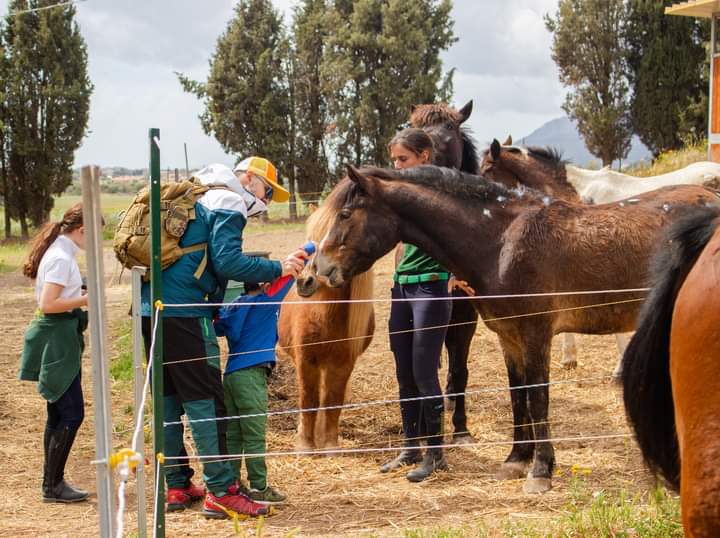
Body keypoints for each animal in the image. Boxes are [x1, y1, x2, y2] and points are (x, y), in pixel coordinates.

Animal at [277, 194, 374, 450]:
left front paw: (329, 444)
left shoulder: (343, 363)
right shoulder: (305, 361)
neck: (326, 318)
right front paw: (305, 445)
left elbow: (332, 400)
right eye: (309, 243)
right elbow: (308, 399)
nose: (304, 281)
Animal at [312, 164, 719, 494]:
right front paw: (516, 459)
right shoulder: (509, 337)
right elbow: (517, 396)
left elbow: (537, 398)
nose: (319, 269)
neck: (500, 242)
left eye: (345, 213)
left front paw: (541, 470)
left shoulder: (536, 333)